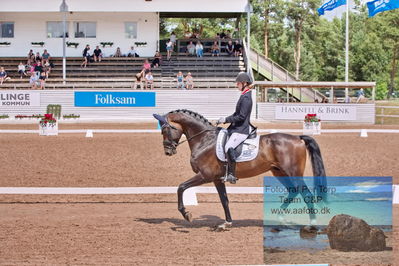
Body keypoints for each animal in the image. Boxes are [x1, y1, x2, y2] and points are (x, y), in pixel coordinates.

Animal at [154, 109, 328, 230]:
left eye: (165, 130)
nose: (168, 151)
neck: (204, 140)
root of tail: (298, 138)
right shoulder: (217, 179)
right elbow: (224, 200)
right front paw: (226, 223)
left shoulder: (205, 175)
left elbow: (181, 187)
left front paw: (186, 214)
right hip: (279, 172)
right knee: (294, 191)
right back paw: (280, 218)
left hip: (293, 173)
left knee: (306, 194)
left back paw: (311, 225)